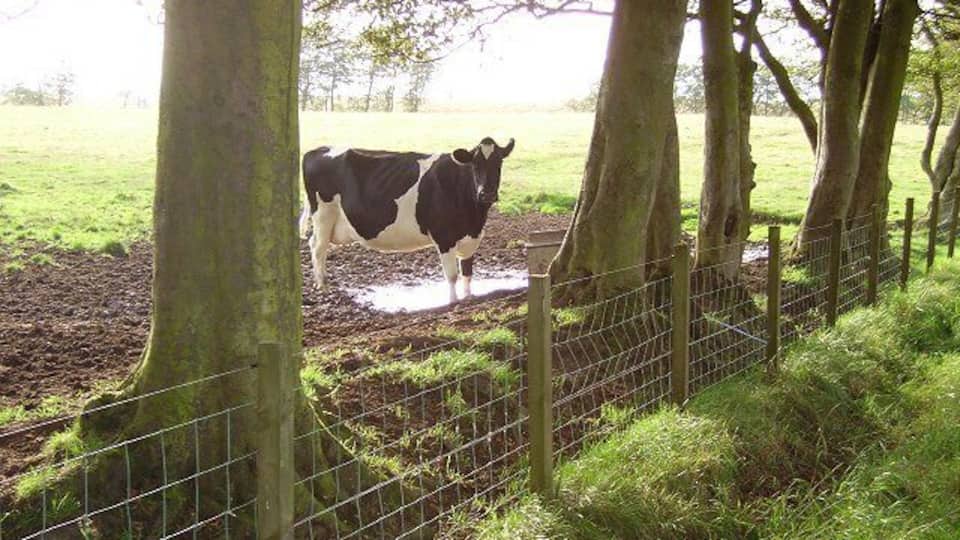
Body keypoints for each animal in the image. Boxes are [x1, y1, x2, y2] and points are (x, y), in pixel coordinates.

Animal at [298, 137, 515, 303]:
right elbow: (452, 275)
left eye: (499, 164)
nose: (486, 194)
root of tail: (318, 149)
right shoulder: (444, 237)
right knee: (317, 246)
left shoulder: (471, 238)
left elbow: (468, 272)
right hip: (323, 214)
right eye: (474, 165)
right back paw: (322, 284)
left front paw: (469, 297)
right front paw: (453, 302)